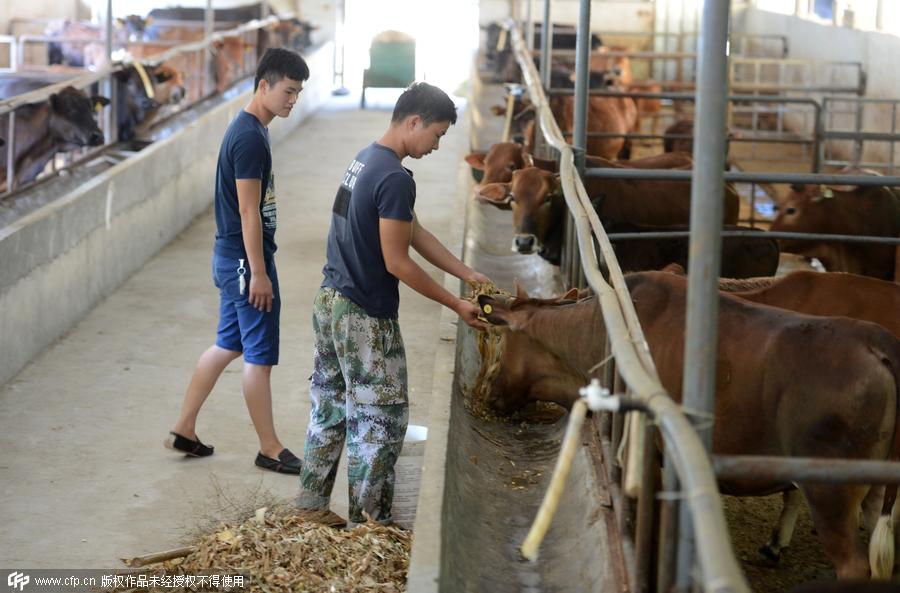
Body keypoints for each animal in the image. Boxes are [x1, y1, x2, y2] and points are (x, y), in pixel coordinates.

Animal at [482, 272, 900, 580]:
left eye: (503, 339)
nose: (489, 393)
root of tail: (877, 341)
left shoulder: (651, 459)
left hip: (831, 492)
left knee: (854, 564)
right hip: (875, 485)